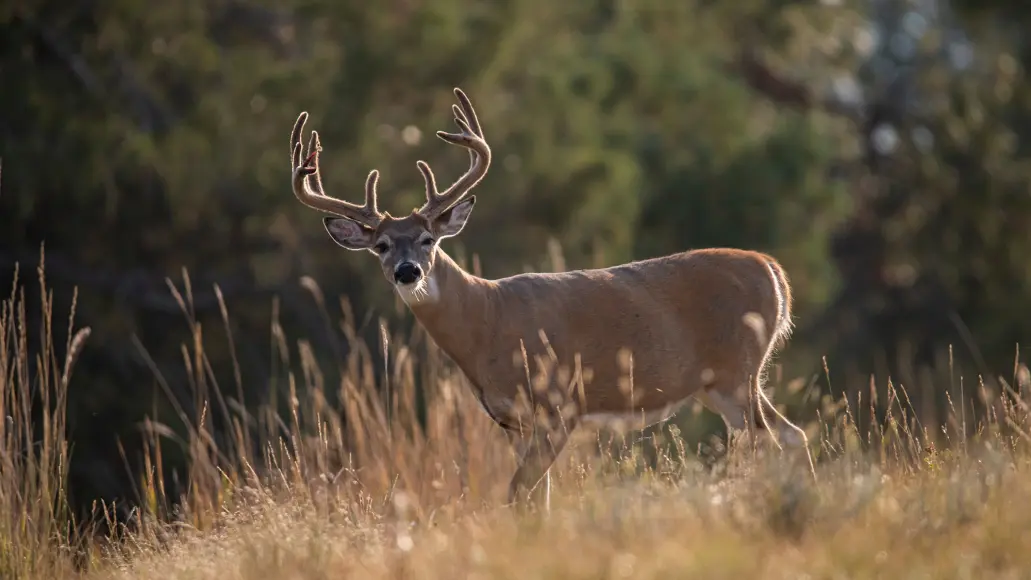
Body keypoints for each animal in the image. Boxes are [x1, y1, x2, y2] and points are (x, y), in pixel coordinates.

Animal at [288, 87, 812, 513]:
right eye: (380, 245)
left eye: (426, 239)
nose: (407, 271)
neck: (486, 320)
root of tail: (774, 271)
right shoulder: (513, 422)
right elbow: (535, 495)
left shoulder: (560, 403)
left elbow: (519, 492)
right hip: (727, 382)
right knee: (793, 435)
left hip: (736, 373)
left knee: (772, 442)